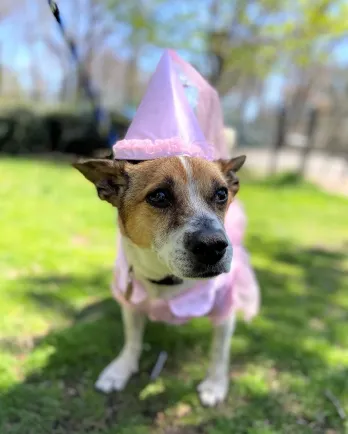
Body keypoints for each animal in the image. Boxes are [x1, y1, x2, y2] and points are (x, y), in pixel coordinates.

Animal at [74, 153, 253, 406]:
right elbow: (132, 341)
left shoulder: (224, 312)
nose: (213, 246)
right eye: (159, 196)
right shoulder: (132, 304)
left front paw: (215, 384)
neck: (167, 279)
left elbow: (219, 351)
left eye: (221, 194)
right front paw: (120, 370)